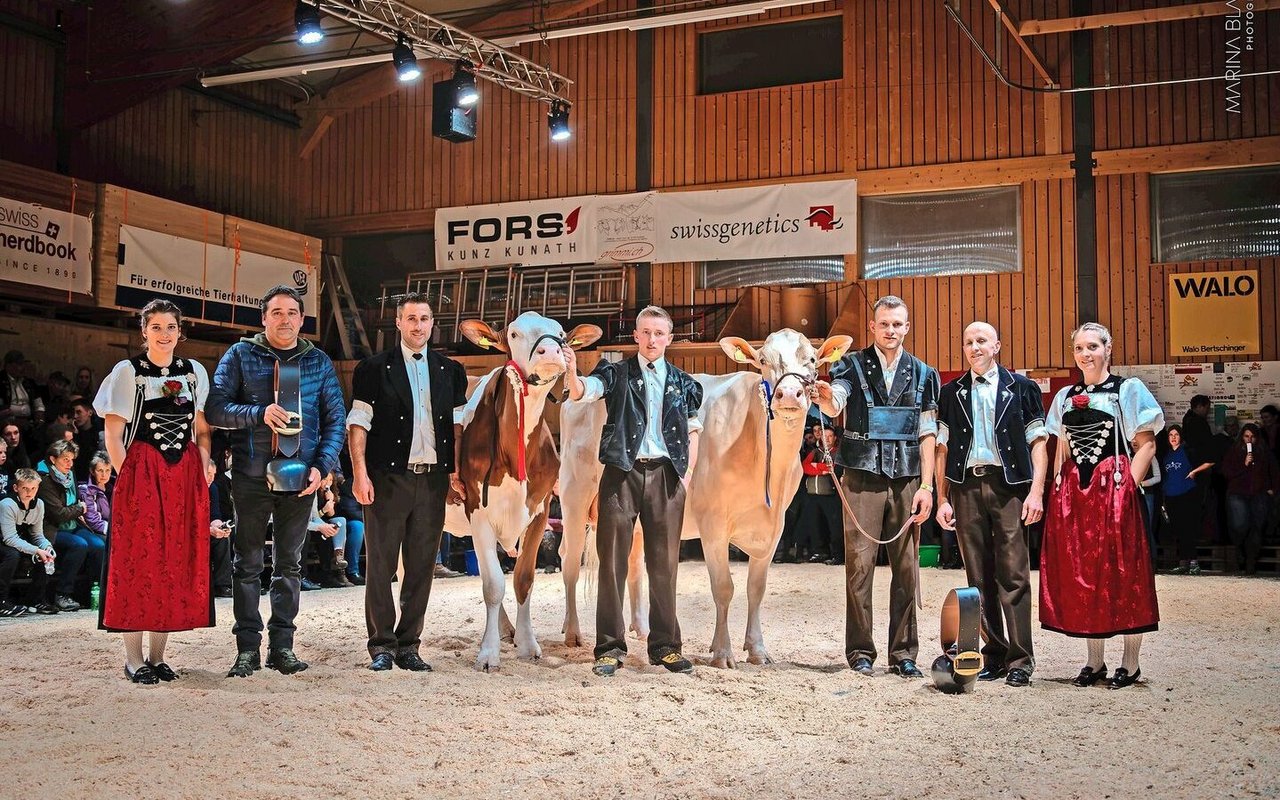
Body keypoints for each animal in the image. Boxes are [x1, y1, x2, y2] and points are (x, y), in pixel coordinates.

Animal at [448, 308, 601, 670]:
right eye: (514, 334)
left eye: (561, 334)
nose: (551, 351)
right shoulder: (477, 509)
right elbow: (493, 584)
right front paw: (488, 653)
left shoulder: (540, 510)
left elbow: (522, 579)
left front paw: (527, 643)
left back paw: (507, 629)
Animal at [558, 327, 849, 665]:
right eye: (763, 360)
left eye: (812, 359)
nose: (789, 394)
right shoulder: (713, 524)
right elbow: (723, 588)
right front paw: (722, 652)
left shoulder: (774, 528)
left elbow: (756, 588)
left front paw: (757, 649)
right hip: (574, 498)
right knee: (570, 559)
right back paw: (572, 632)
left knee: (633, 565)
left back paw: (642, 629)